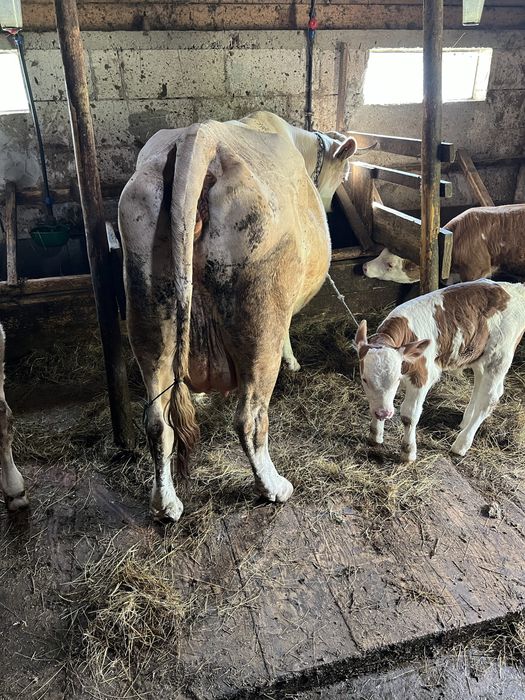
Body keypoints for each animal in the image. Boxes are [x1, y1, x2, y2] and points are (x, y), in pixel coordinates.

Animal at [118, 111, 357, 522]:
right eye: (343, 174)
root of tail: (199, 136)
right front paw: (293, 361)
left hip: (146, 300)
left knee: (157, 419)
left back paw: (165, 503)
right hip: (262, 312)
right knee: (251, 417)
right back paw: (273, 487)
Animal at [355, 279, 525, 462]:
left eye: (397, 380)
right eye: (364, 379)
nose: (384, 414)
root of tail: (514, 288)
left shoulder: (422, 377)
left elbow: (409, 415)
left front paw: (408, 452)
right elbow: (375, 403)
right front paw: (375, 436)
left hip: (500, 356)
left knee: (489, 399)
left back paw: (461, 444)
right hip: (480, 355)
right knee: (481, 385)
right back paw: (466, 421)